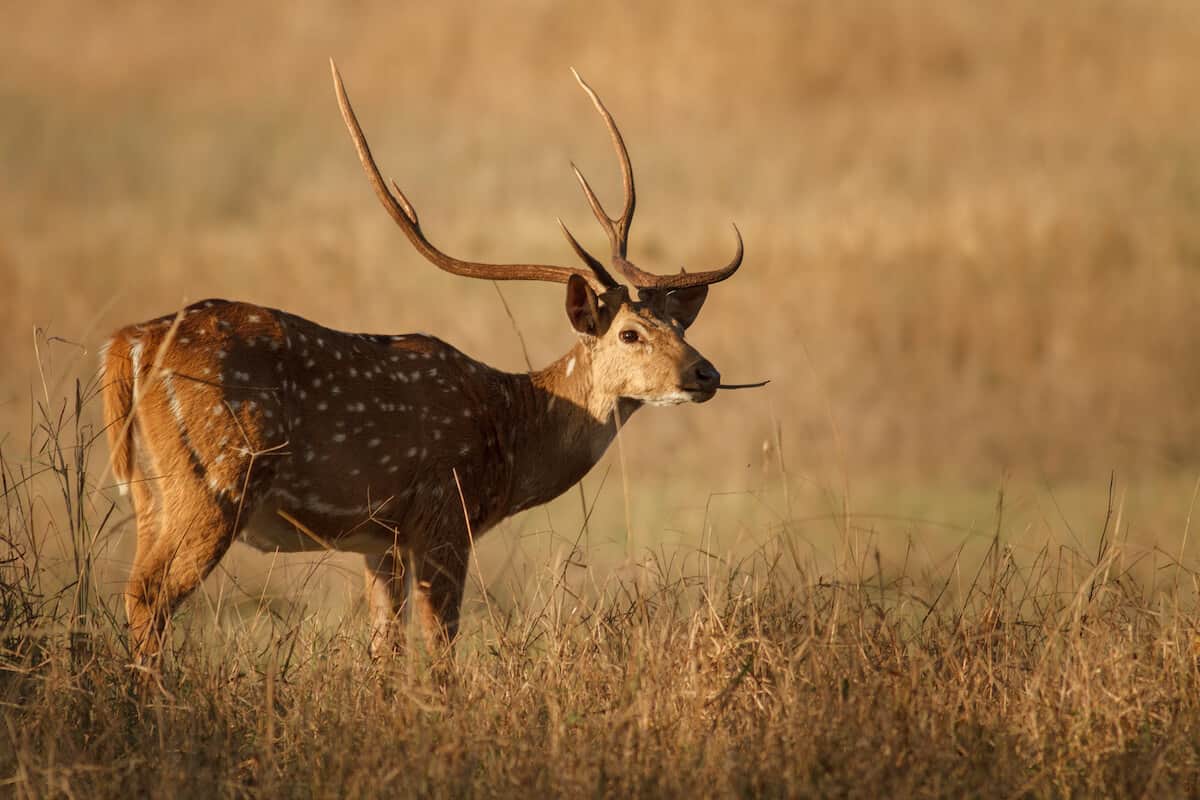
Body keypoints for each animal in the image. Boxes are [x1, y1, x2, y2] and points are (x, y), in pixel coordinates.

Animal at [100, 60, 753, 667]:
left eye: (681, 325)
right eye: (629, 332)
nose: (707, 374)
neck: (509, 434)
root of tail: (129, 344)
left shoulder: (381, 540)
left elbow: (386, 649)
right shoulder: (444, 514)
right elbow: (441, 647)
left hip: (152, 493)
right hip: (216, 475)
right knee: (150, 594)